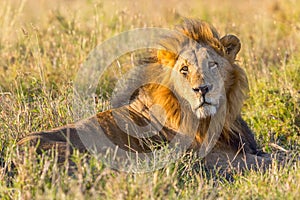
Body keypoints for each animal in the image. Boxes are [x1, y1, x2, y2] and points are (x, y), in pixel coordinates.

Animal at [18, 18, 272, 172]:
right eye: (184, 69)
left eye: (213, 64)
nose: (202, 89)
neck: (221, 118)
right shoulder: (217, 159)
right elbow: (276, 161)